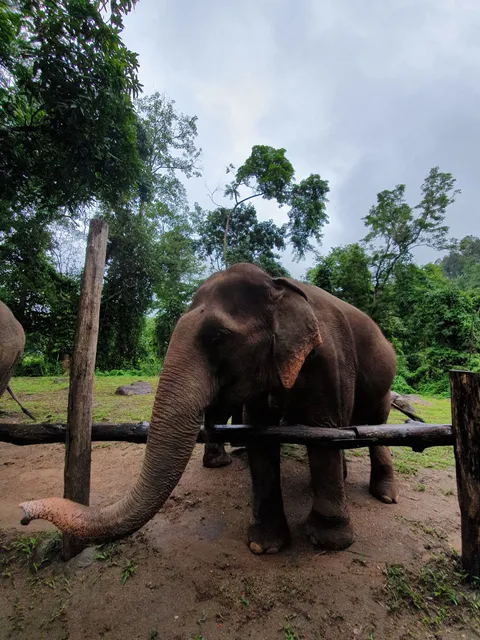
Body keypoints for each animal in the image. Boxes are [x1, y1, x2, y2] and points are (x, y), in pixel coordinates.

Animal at [19, 263, 398, 553]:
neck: (276, 284)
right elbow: (261, 438)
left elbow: (324, 433)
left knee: (375, 426)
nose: (23, 510)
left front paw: (329, 542)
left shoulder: (329, 361)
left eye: (217, 336)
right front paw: (264, 546)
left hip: (382, 384)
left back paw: (386, 496)